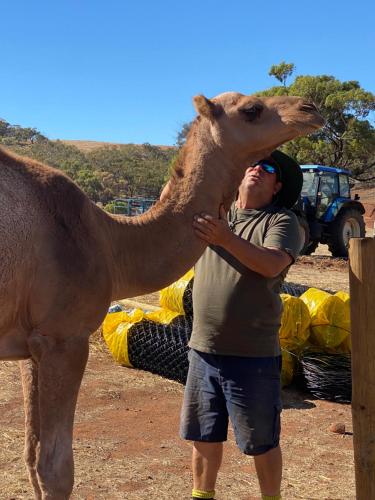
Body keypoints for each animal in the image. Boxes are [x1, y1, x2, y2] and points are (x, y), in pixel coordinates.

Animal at [0, 91, 324, 496]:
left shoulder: (32, 345)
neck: (110, 243)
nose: (310, 109)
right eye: (251, 109)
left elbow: (31, 457)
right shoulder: (64, 338)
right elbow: (55, 469)